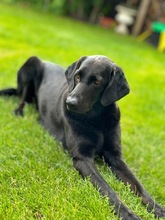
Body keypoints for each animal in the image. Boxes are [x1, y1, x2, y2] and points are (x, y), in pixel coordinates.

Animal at [0, 55, 164, 219]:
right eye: (77, 76)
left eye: (97, 82)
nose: (69, 102)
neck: (97, 119)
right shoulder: (82, 158)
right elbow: (108, 189)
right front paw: (128, 214)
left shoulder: (115, 157)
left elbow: (138, 185)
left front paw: (158, 208)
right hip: (31, 64)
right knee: (21, 99)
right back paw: (19, 112)